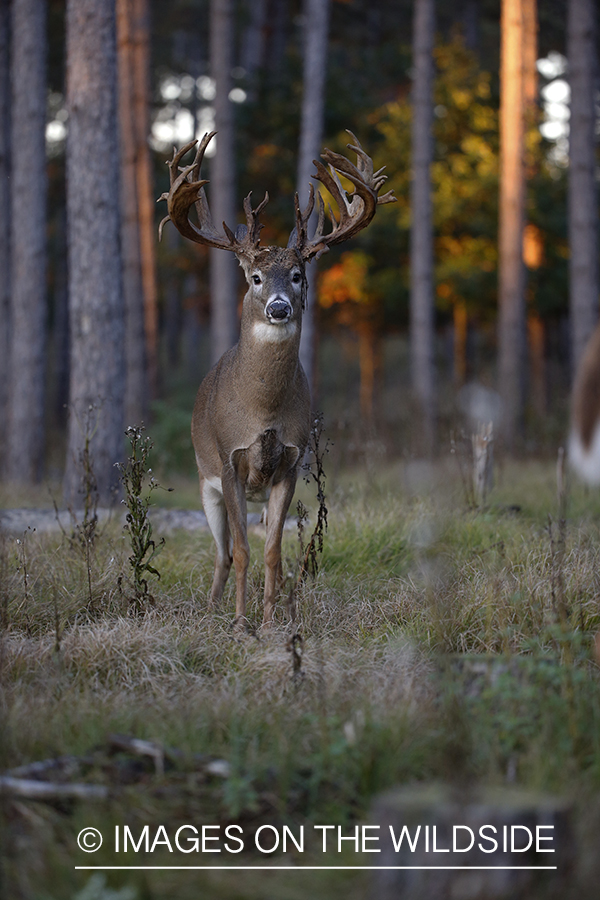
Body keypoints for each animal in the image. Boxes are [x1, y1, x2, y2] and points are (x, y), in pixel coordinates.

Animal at [157, 132, 396, 624]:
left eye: (299, 274)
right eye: (255, 277)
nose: (280, 307)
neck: (262, 409)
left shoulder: (291, 459)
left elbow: (272, 552)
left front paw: (269, 622)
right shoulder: (228, 458)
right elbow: (242, 553)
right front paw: (239, 621)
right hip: (204, 480)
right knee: (222, 553)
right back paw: (212, 608)